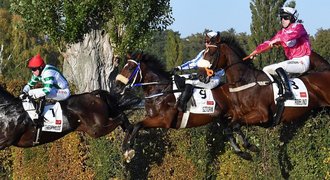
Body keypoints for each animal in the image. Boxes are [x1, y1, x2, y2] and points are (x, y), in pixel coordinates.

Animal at [0, 86, 137, 149]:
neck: (6, 111)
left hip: (97, 129)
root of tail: (92, 95)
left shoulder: (5, 141)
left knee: (121, 117)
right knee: (122, 118)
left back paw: (128, 148)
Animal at [113, 52, 260, 162]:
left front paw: (129, 150)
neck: (161, 90)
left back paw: (249, 146)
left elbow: (137, 124)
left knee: (237, 125)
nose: (117, 86)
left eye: (130, 68)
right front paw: (125, 147)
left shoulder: (164, 121)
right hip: (221, 116)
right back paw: (244, 151)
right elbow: (133, 127)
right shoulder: (151, 118)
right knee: (230, 130)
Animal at [197, 32, 330, 150]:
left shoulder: (263, 115)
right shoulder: (237, 114)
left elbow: (235, 125)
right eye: (204, 53)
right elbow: (230, 127)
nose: (200, 76)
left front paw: (248, 147)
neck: (245, 81)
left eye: (212, 53)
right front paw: (243, 149)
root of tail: (325, 70)